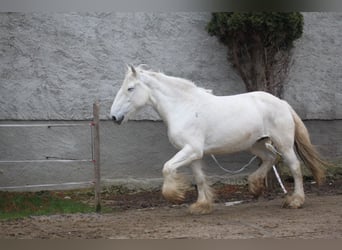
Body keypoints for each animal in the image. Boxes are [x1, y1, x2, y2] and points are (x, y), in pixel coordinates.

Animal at [111, 63, 328, 214]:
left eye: (130, 88)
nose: (114, 117)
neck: (184, 107)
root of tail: (282, 103)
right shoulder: (193, 154)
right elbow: (199, 178)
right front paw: (201, 205)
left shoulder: (191, 150)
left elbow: (167, 168)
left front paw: (175, 196)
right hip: (256, 144)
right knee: (269, 158)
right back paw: (255, 186)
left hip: (284, 144)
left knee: (295, 167)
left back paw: (295, 201)